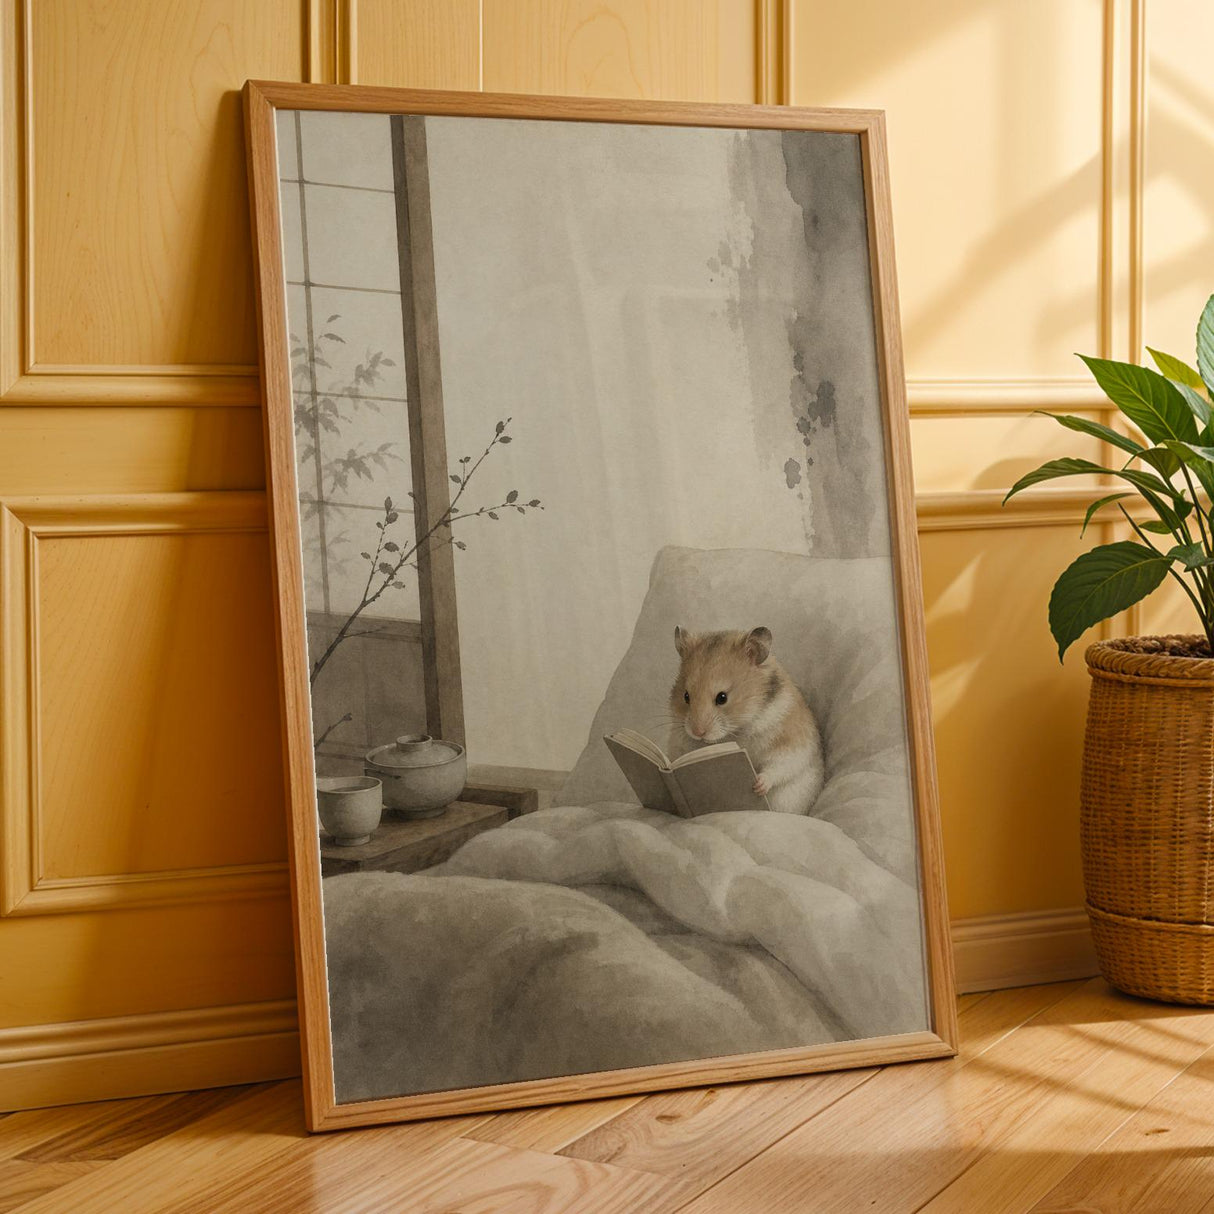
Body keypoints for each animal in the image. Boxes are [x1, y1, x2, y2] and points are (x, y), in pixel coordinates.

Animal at [668, 625, 825, 816]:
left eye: (722, 697)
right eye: (686, 696)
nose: (698, 732)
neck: (737, 730)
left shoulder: (791, 741)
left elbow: (781, 764)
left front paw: (758, 785)